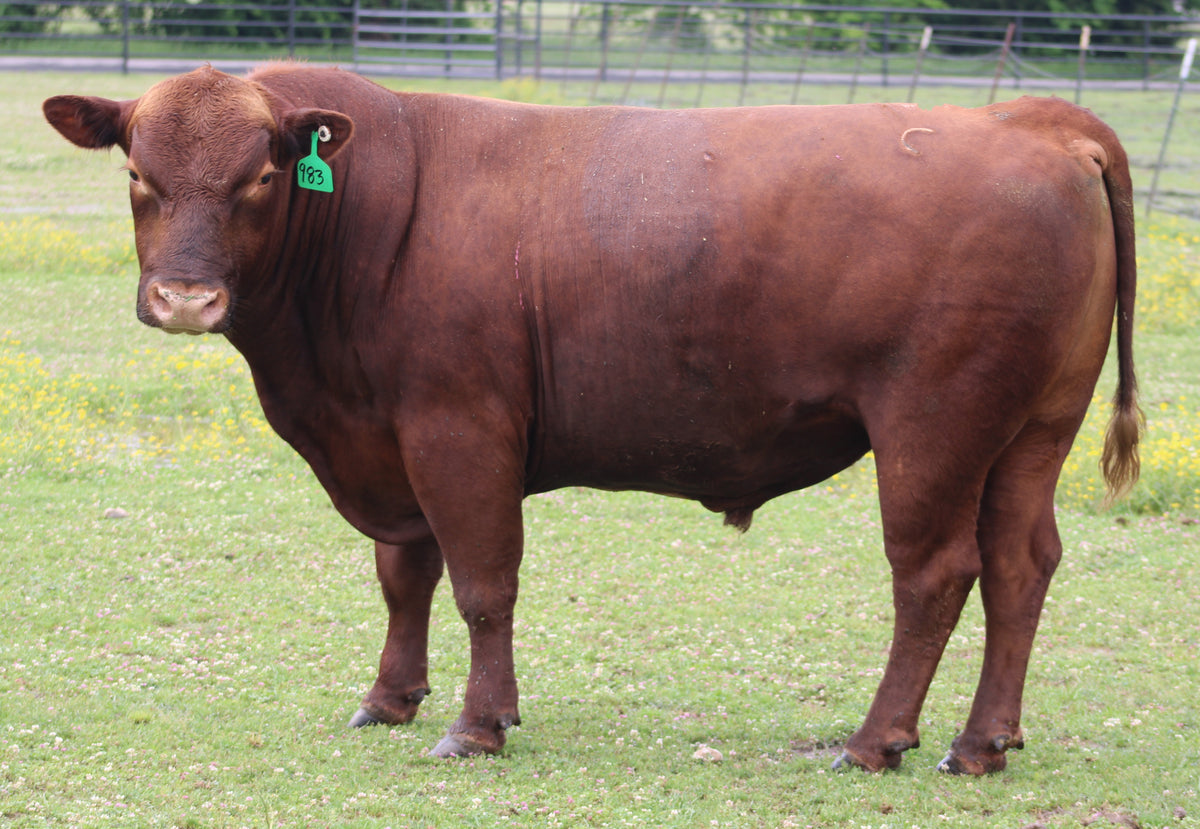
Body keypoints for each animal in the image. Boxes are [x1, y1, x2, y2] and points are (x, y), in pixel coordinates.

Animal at [44, 64, 1141, 775]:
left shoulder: (460, 427)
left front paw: (477, 725)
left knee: (934, 573)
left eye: (263, 175)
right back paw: (983, 740)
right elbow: (404, 573)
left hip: (931, 427)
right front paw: (390, 699)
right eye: (136, 172)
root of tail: (1033, 120)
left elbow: (482, 583)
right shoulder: (390, 441)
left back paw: (879, 742)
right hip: (1032, 432)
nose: (186, 298)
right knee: (1021, 565)